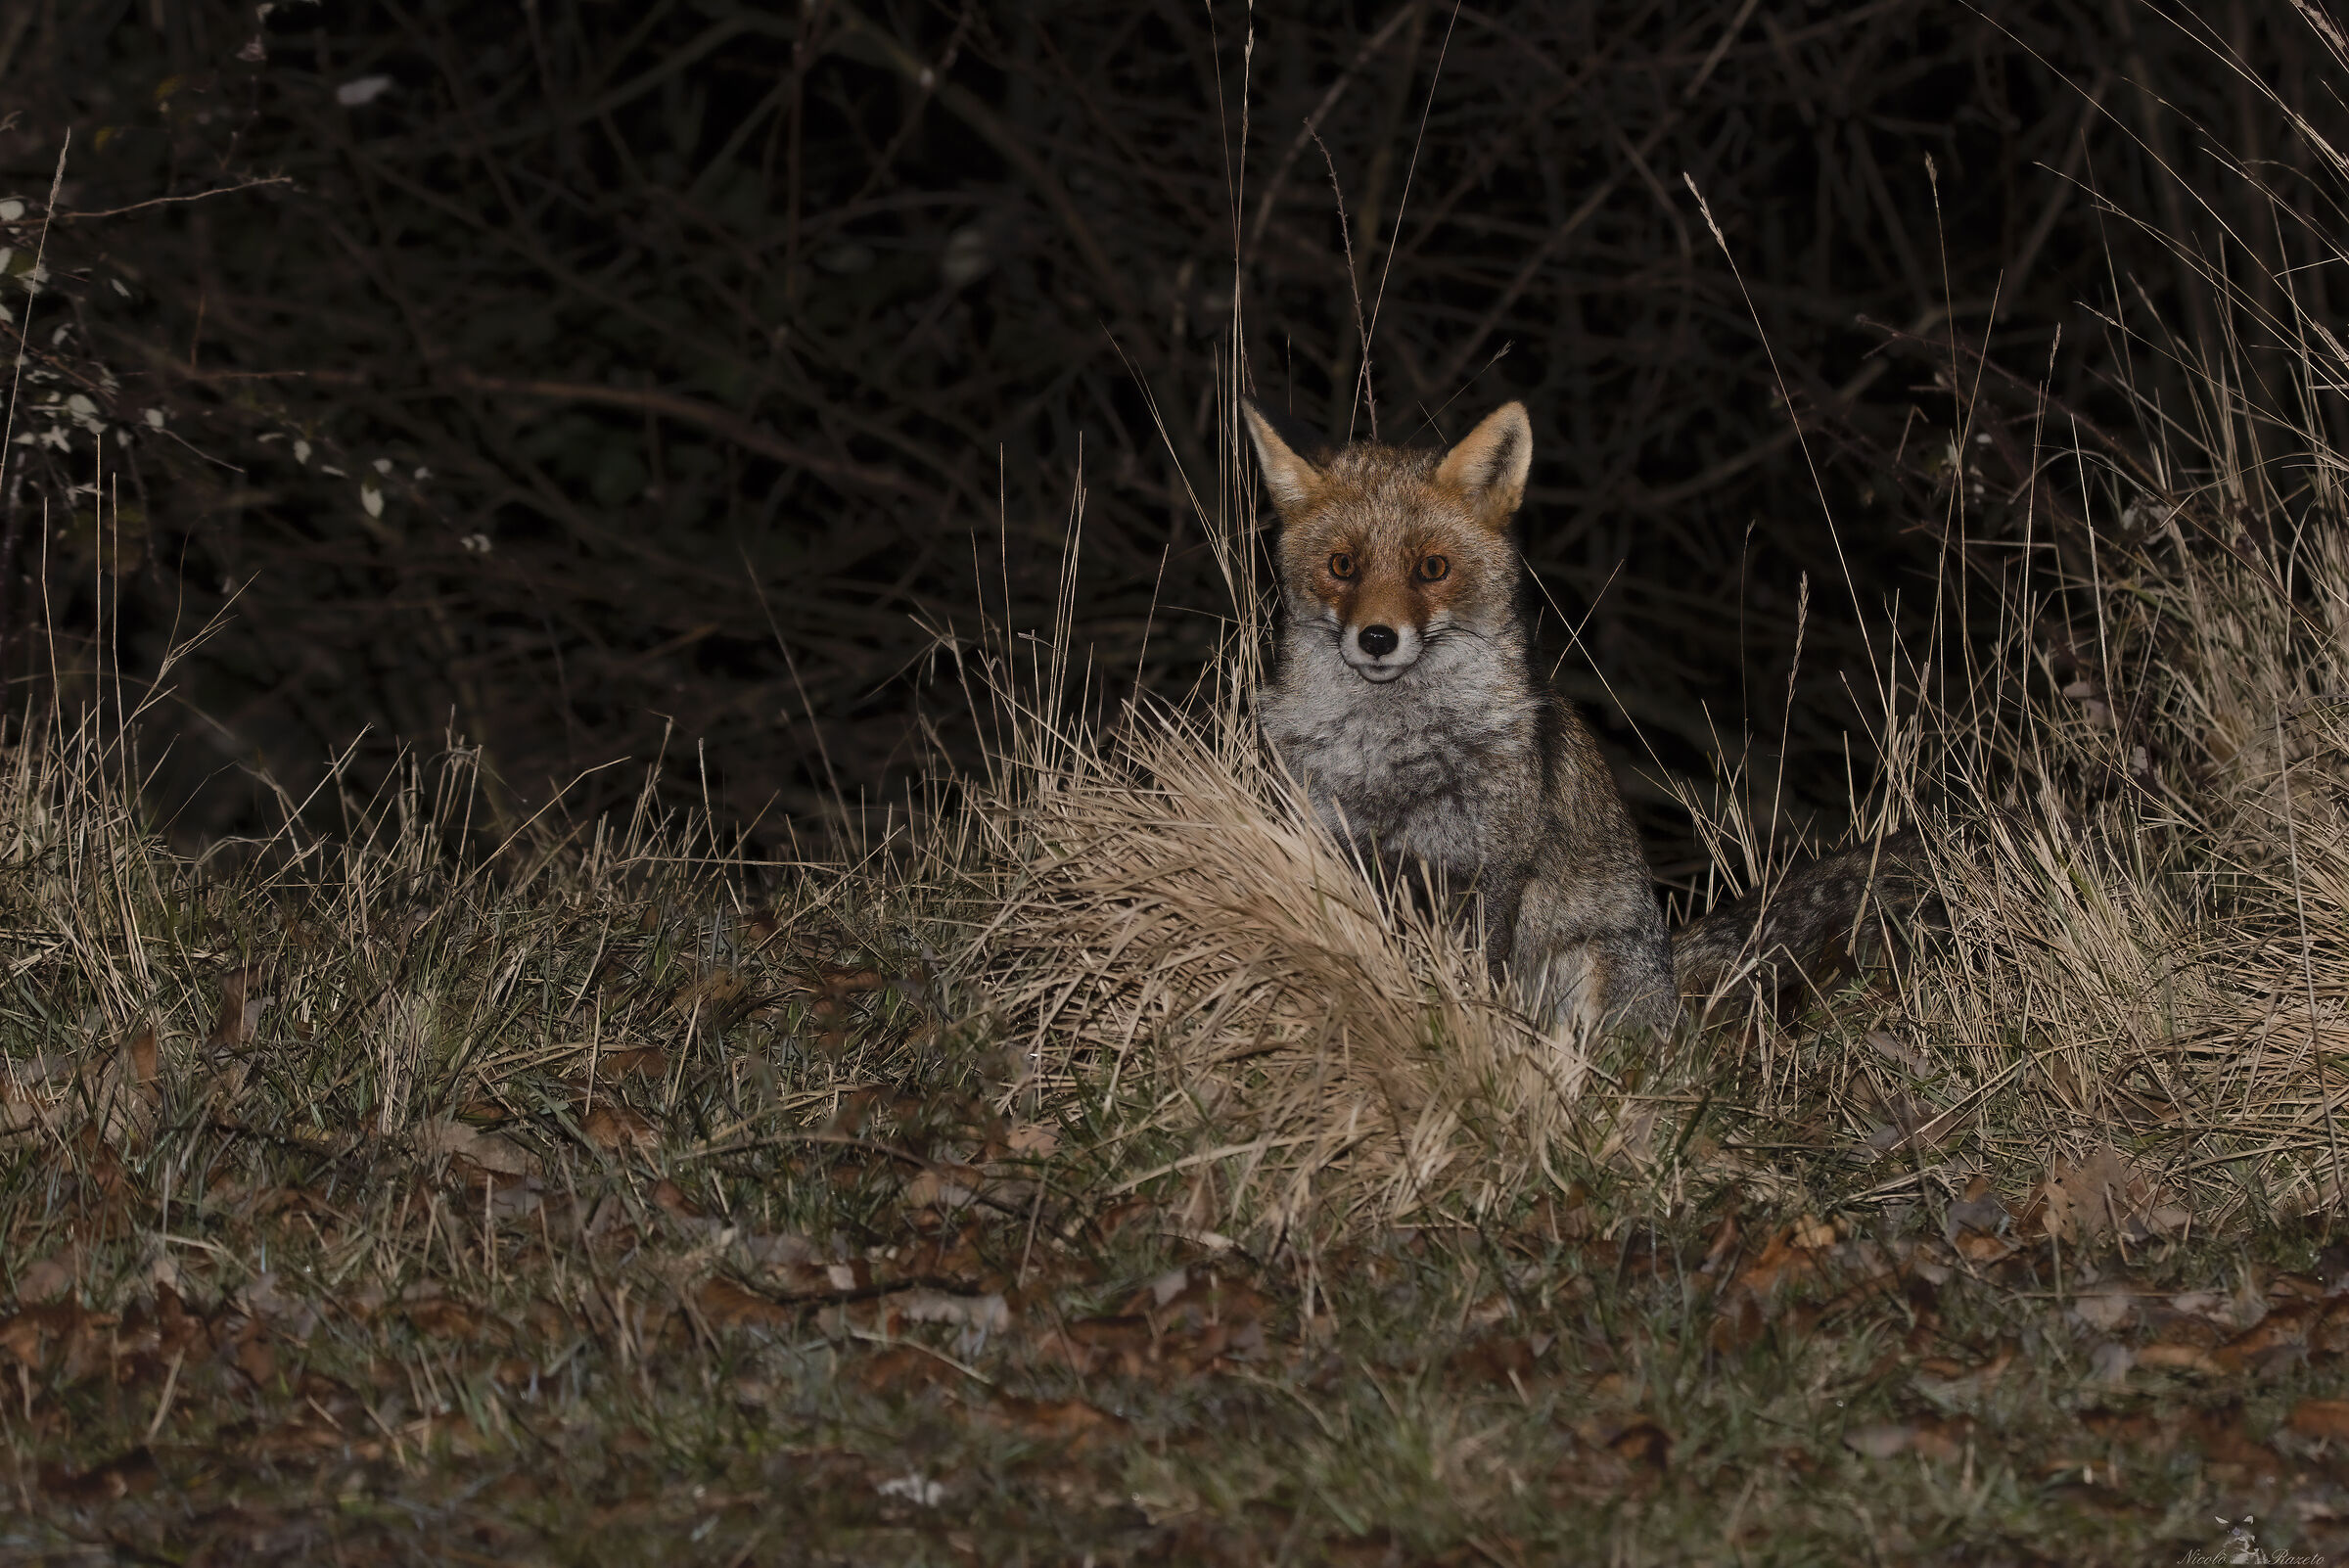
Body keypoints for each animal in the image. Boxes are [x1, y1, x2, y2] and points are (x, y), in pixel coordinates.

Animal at [1243, 398, 1918, 1035]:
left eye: (1432, 569)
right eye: (1342, 566)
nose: (1378, 639)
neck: (1390, 752)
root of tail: (1670, 990)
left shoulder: (1493, 868)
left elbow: (1476, 969)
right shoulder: (1337, 841)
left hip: (1592, 968)